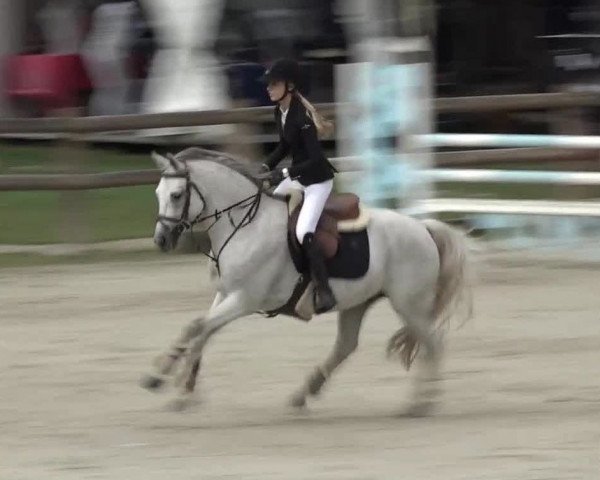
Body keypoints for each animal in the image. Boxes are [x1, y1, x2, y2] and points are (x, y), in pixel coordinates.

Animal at [142, 148, 474, 414]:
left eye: (176, 195)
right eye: (157, 193)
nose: (161, 240)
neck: (246, 225)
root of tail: (423, 228)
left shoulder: (244, 299)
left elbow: (197, 327)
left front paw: (162, 375)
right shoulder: (225, 295)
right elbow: (200, 331)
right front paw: (180, 389)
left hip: (409, 304)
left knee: (433, 344)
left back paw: (421, 403)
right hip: (358, 302)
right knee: (346, 346)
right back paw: (303, 393)